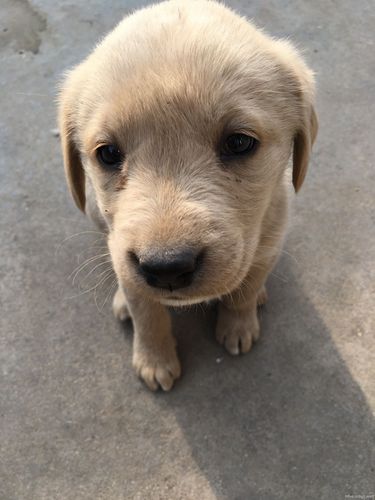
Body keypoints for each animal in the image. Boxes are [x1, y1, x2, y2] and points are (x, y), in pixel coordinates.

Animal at [58, 0, 318, 390]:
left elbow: (244, 290)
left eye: (239, 142)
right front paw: (154, 359)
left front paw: (238, 325)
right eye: (108, 153)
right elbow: (147, 312)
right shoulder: (127, 261)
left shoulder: (270, 243)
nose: (166, 268)